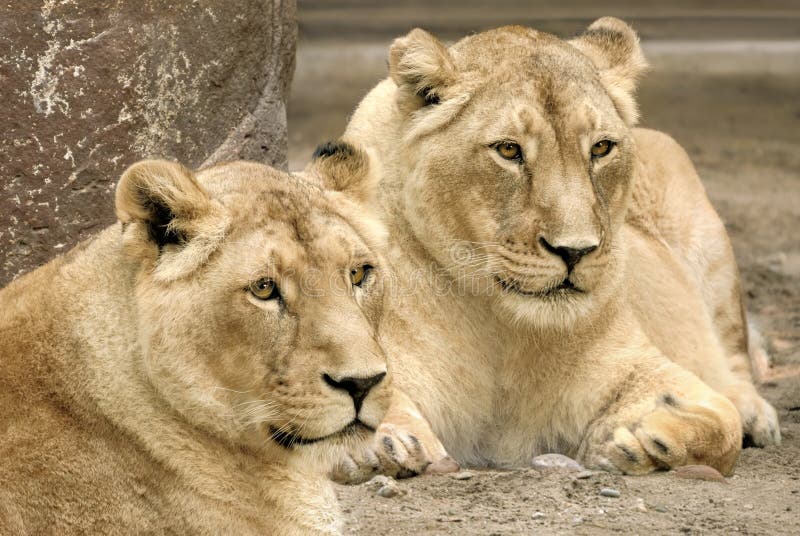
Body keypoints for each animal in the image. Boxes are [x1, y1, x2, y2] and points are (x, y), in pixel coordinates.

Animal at [331, 17, 779, 481]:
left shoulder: (641, 362)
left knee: (735, 360)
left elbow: (723, 424)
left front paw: (646, 437)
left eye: (601, 147)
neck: (503, 333)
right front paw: (381, 443)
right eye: (508, 150)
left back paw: (755, 414)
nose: (574, 251)